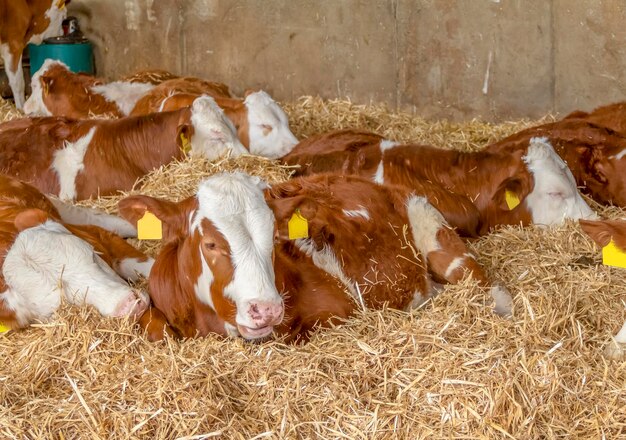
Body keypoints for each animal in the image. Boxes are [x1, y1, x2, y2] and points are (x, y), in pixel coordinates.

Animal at [116, 173, 508, 344]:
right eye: (211, 243)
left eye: (274, 238)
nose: (266, 309)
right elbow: (152, 327)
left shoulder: (338, 311)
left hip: (434, 231)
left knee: (487, 287)